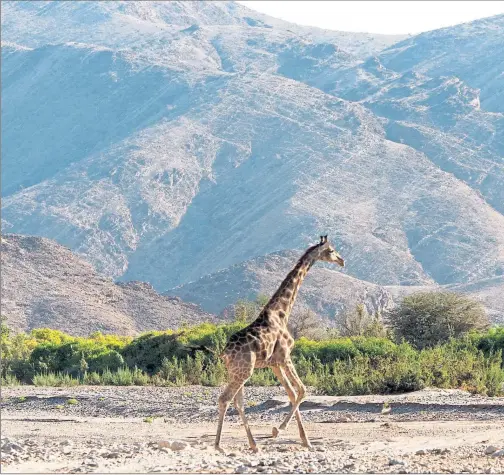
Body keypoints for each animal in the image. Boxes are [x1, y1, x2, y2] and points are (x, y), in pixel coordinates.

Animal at [215, 237, 344, 454]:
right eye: (332, 250)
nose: (342, 261)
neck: (281, 313)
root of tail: (225, 353)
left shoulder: (274, 363)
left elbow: (292, 393)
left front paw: (293, 436)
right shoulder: (285, 356)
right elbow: (301, 390)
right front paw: (288, 433)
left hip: (236, 372)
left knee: (238, 402)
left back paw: (254, 444)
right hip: (244, 371)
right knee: (225, 399)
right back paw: (218, 446)